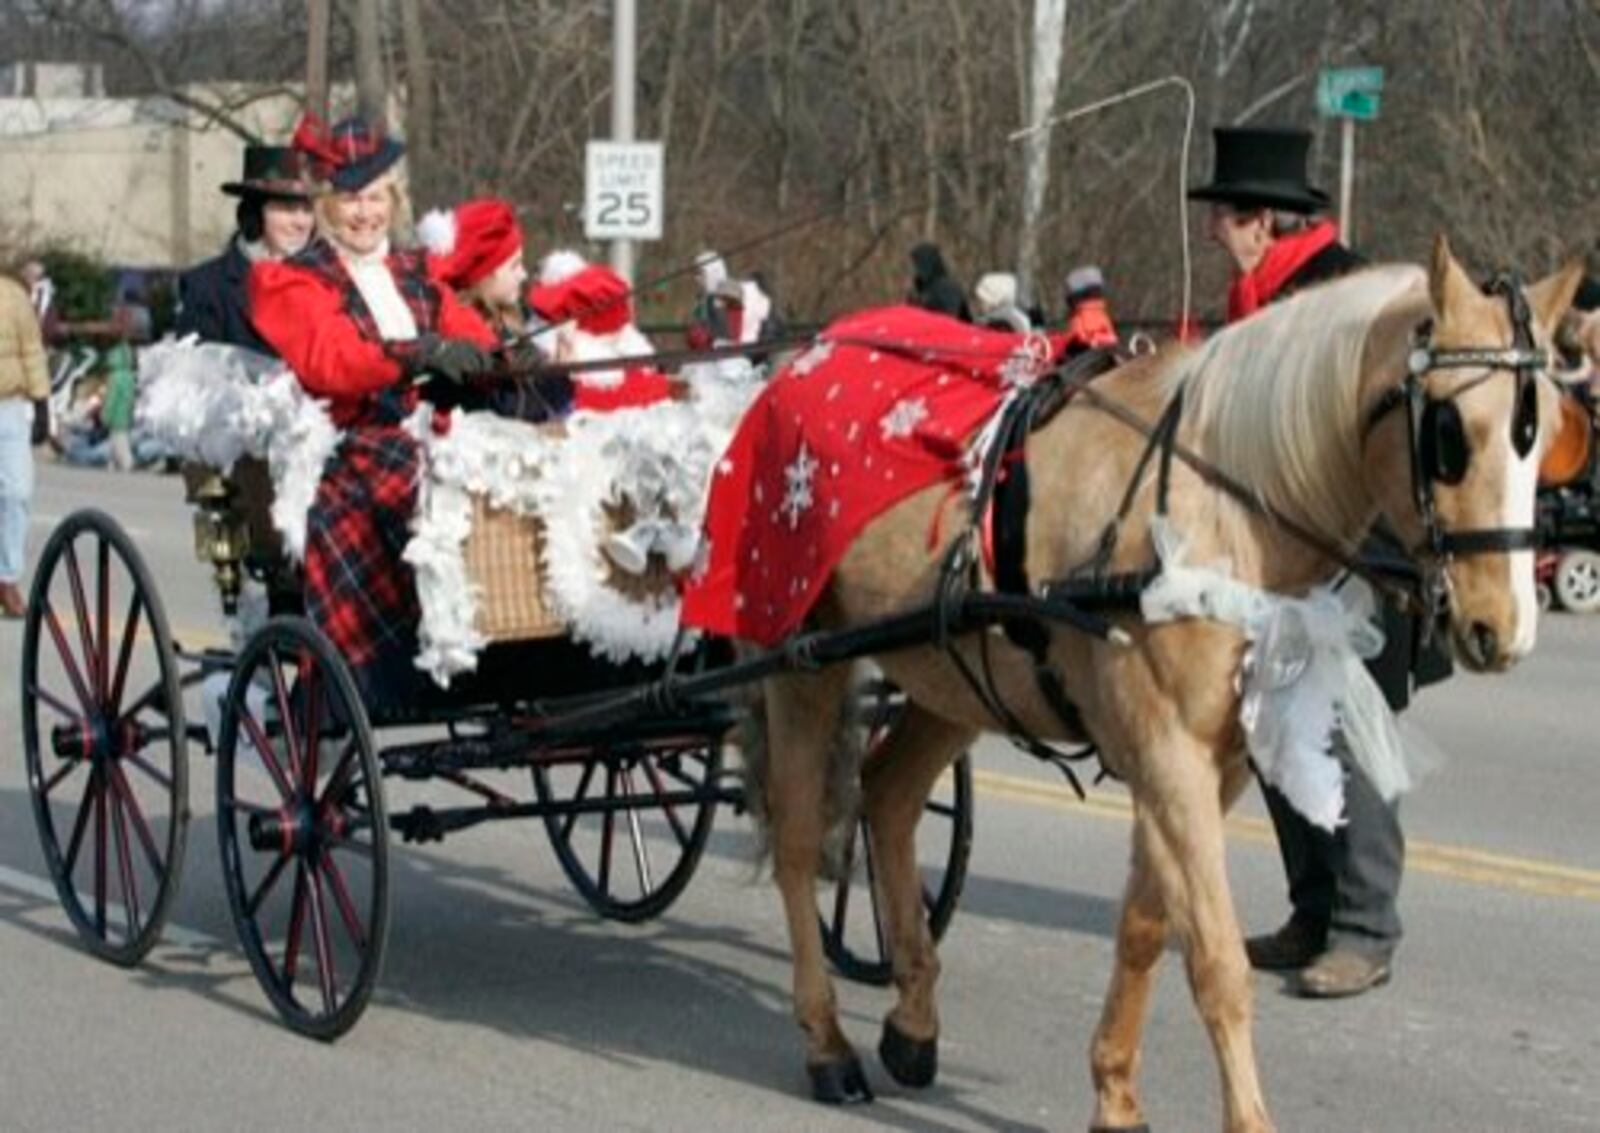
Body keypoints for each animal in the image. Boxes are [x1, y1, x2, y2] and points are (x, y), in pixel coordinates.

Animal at [748, 235, 1587, 1126]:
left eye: (1546, 435)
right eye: (1450, 432)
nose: (1503, 628)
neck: (1216, 511)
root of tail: (804, 358)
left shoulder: (1208, 765)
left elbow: (1149, 925)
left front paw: (1114, 1090)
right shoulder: (1169, 749)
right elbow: (1216, 957)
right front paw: (1244, 1115)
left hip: (957, 676)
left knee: (887, 796)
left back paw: (911, 1019)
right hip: (802, 660)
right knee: (798, 836)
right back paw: (827, 1041)